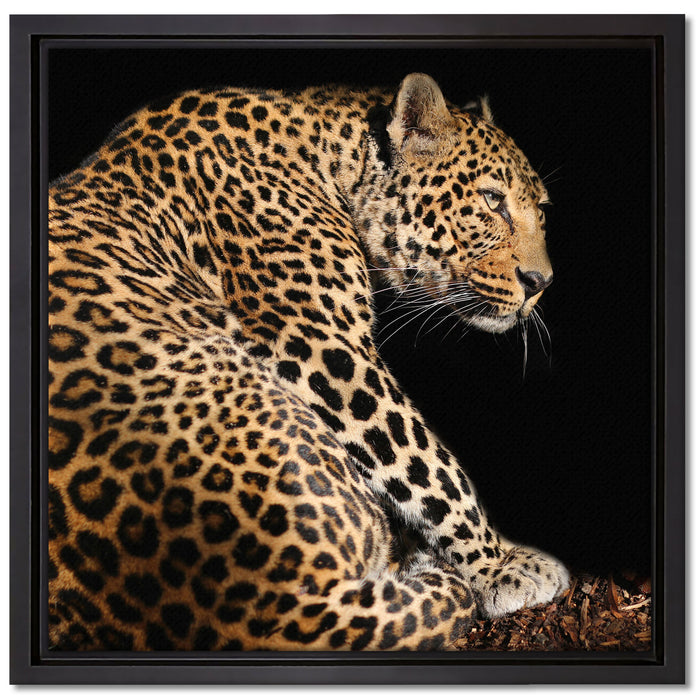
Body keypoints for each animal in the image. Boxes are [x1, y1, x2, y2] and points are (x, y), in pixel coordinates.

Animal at [47, 72, 568, 652]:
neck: (330, 154)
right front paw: (501, 567)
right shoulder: (321, 345)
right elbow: (426, 461)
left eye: (541, 211)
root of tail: (269, 608)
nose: (541, 283)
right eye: (492, 201)